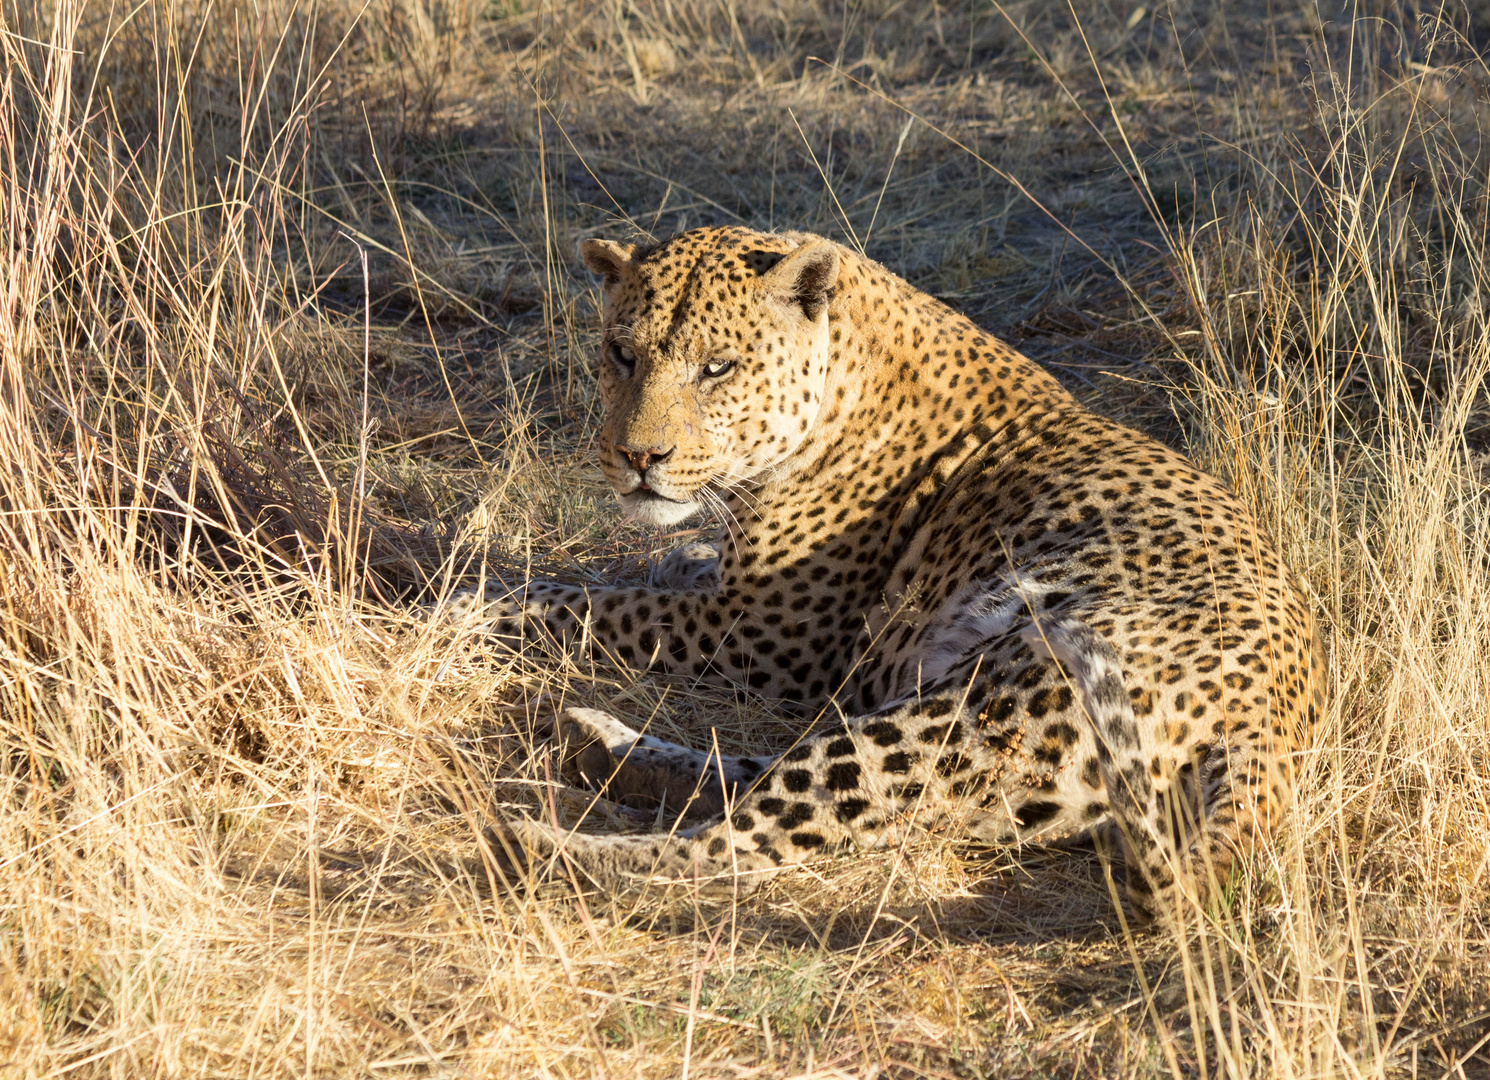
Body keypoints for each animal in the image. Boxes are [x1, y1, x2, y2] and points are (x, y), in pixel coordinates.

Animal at [452, 223, 1329, 923]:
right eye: (621, 353)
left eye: (718, 368)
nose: (638, 457)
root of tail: (1274, 735)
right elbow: (659, 571)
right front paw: (678, 552)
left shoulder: (761, 635)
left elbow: (587, 602)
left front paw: (463, 606)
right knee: (769, 781)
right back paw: (595, 743)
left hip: (985, 704)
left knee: (733, 847)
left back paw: (530, 845)